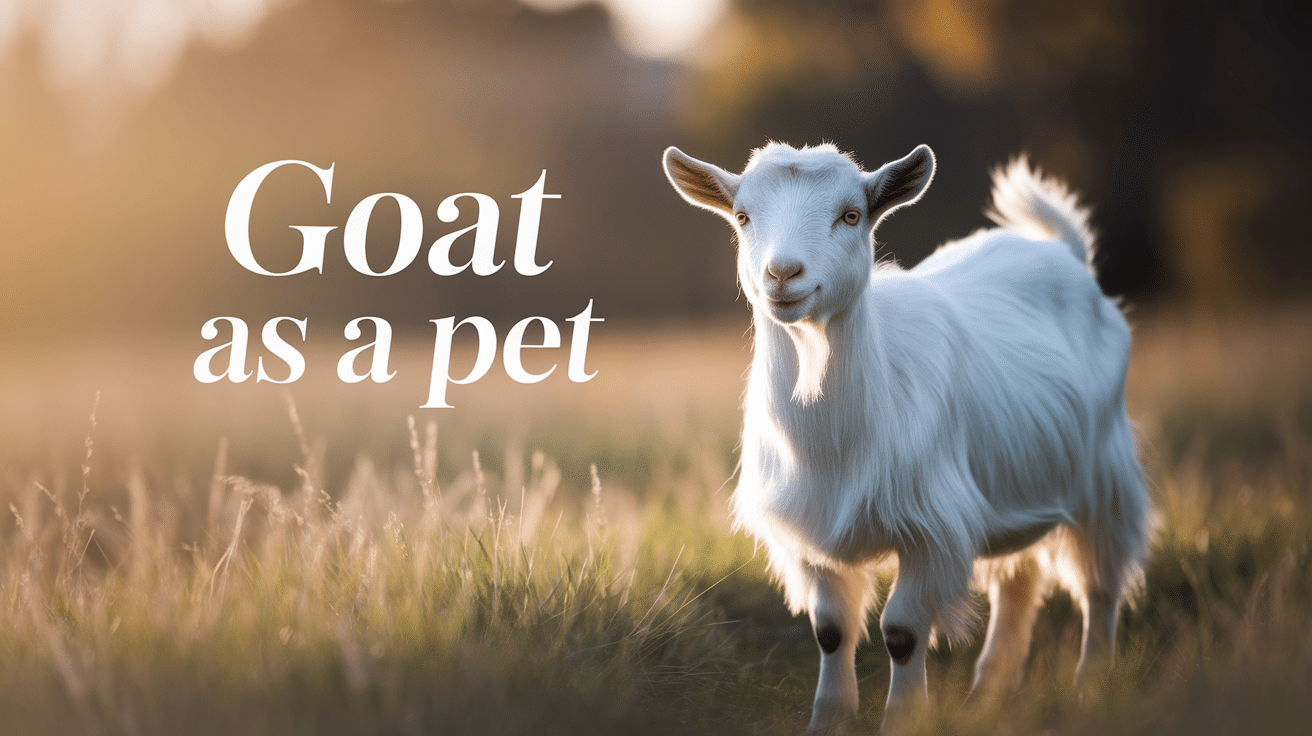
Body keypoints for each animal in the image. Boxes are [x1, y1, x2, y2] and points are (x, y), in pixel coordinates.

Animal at [662, 142, 1150, 731]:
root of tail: (1066, 255)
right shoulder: (811, 531)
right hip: (1019, 481)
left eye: (851, 215)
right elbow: (831, 630)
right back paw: (988, 696)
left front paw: (903, 719)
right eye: (742, 217)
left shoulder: (930, 527)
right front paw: (828, 720)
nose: (783, 273)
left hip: (1105, 473)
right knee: (1020, 580)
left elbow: (902, 632)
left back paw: (1088, 688)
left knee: (1100, 584)